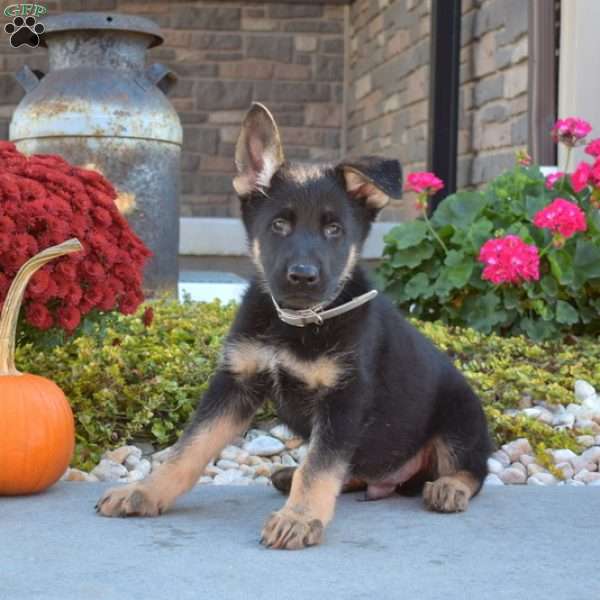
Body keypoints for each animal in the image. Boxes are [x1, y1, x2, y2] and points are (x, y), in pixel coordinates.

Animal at [97, 102, 492, 548]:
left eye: (334, 230)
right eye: (278, 225)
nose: (303, 276)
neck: (298, 322)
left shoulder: (344, 399)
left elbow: (319, 467)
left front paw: (299, 518)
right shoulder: (235, 382)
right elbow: (189, 448)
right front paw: (144, 491)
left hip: (461, 414)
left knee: (474, 469)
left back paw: (450, 486)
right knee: (353, 470)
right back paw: (291, 475)